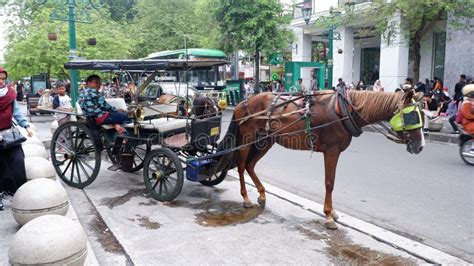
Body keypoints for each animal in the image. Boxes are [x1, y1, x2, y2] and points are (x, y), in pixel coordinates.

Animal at [217, 89, 424, 229]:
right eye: (412, 115)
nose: (420, 146)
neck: (344, 109)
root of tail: (243, 102)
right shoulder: (331, 151)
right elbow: (329, 183)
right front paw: (329, 215)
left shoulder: (335, 152)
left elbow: (332, 182)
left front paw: (332, 212)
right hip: (247, 139)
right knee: (241, 165)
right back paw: (246, 198)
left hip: (265, 141)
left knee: (250, 165)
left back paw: (261, 194)